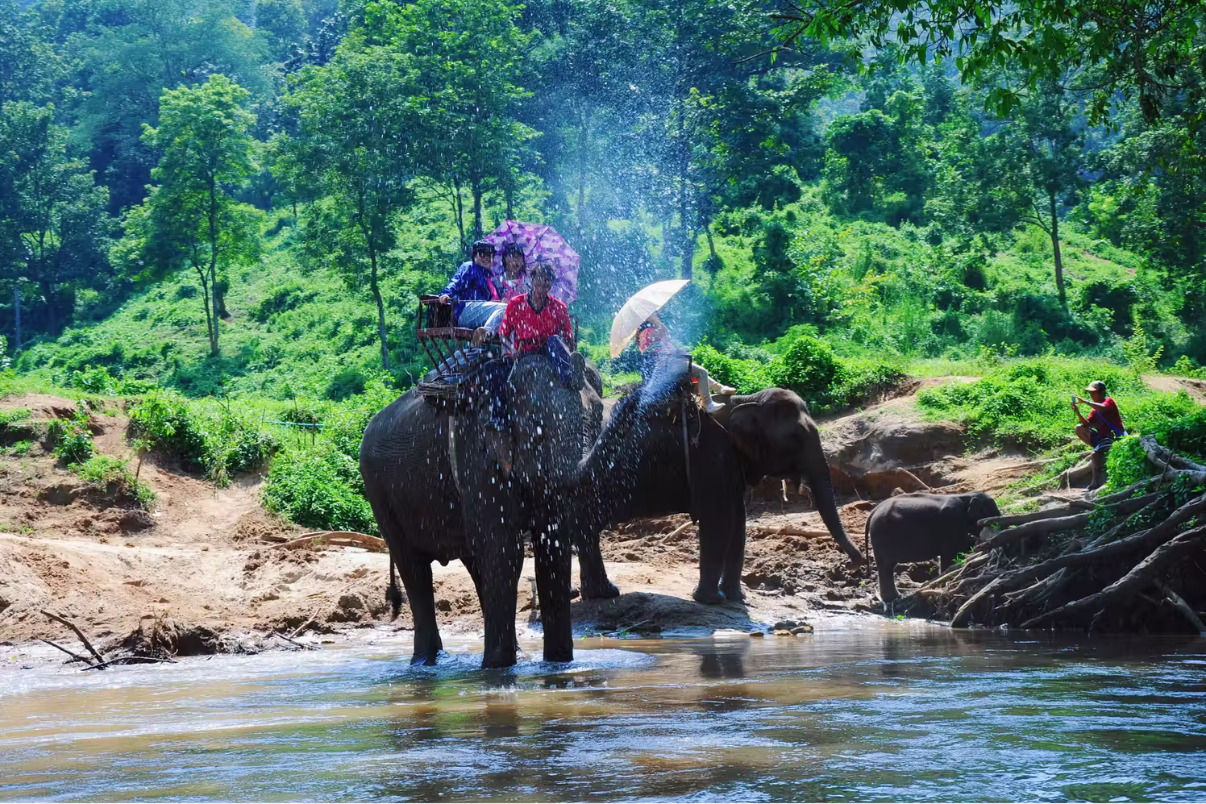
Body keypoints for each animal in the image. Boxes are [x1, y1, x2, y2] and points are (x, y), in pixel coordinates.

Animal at [359, 353, 592, 668]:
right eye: (536, 431)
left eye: (583, 422)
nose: (576, 592)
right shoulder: (476, 454)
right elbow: (505, 550)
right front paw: (497, 669)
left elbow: (551, 549)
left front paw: (557, 664)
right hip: (378, 491)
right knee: (414, 568)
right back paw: (423, 663)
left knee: (475, 563)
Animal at [572, 377, 863, 605]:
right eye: (796, 438)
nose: (852, 564)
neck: (747, 399)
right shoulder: (711, 455)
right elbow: (721, 519)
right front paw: (710, 600)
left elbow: (739, 522)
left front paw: (735, 598)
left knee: (587, 530)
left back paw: (602, 594)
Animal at [864, 491, 1001, 603]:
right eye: (991, 511)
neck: (965, 496)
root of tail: (874, 511)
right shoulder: (951, 522)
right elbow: (949, 554)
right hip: (881, 535)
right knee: (886, 566)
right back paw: (894, 598)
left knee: (886, 567)